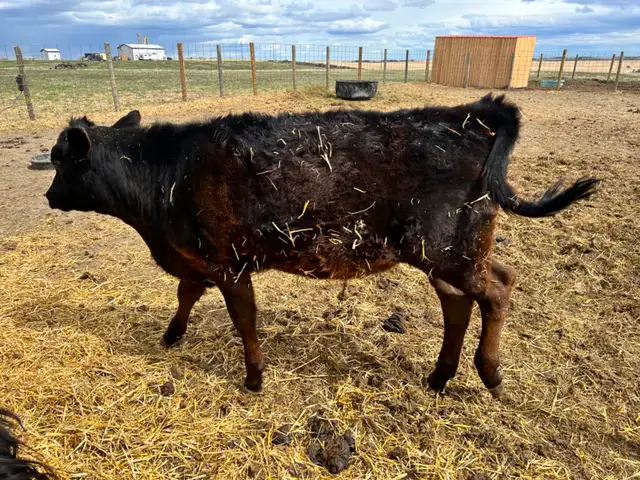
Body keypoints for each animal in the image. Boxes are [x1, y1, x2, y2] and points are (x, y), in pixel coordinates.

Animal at [45, 95, 598, 398]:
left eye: (59, 160)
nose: (49, 196)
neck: (166, 175)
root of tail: (472, 113)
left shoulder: (229, 262)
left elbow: (244, 321)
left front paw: (254, 378)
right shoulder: (196, 256)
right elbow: (186, 294)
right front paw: (172, 335)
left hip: (448, 250)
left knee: (499, 287)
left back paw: (490, 373)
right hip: (445, 255)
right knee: (462, 303)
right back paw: (440, 377)